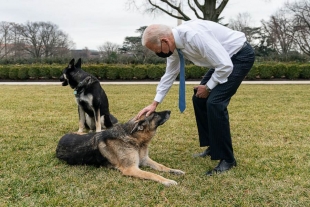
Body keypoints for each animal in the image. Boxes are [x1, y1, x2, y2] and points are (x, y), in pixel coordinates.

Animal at [56, 111, 184, 187]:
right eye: (155, 114)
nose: (169, 111)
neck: (133, 138)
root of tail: (59, 141)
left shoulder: (144, 160)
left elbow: (162, 167)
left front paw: (175, 171)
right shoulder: (131, 169)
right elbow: (152, 174)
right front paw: (167, 181)